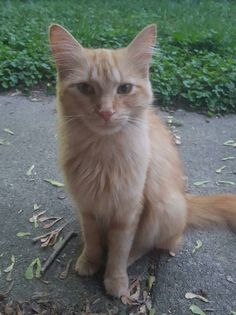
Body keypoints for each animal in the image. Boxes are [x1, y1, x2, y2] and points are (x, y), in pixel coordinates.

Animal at [48, 24, 236, 298]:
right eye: (85, 88)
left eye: (124, 89)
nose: (106, 112)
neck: (102, 155)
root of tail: (186, 202)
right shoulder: (87, 207)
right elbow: (92, 241)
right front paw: (89, 261)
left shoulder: (128, 211)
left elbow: (119, 250)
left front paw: (115, 280)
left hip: (164, 208)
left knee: (152, 246)